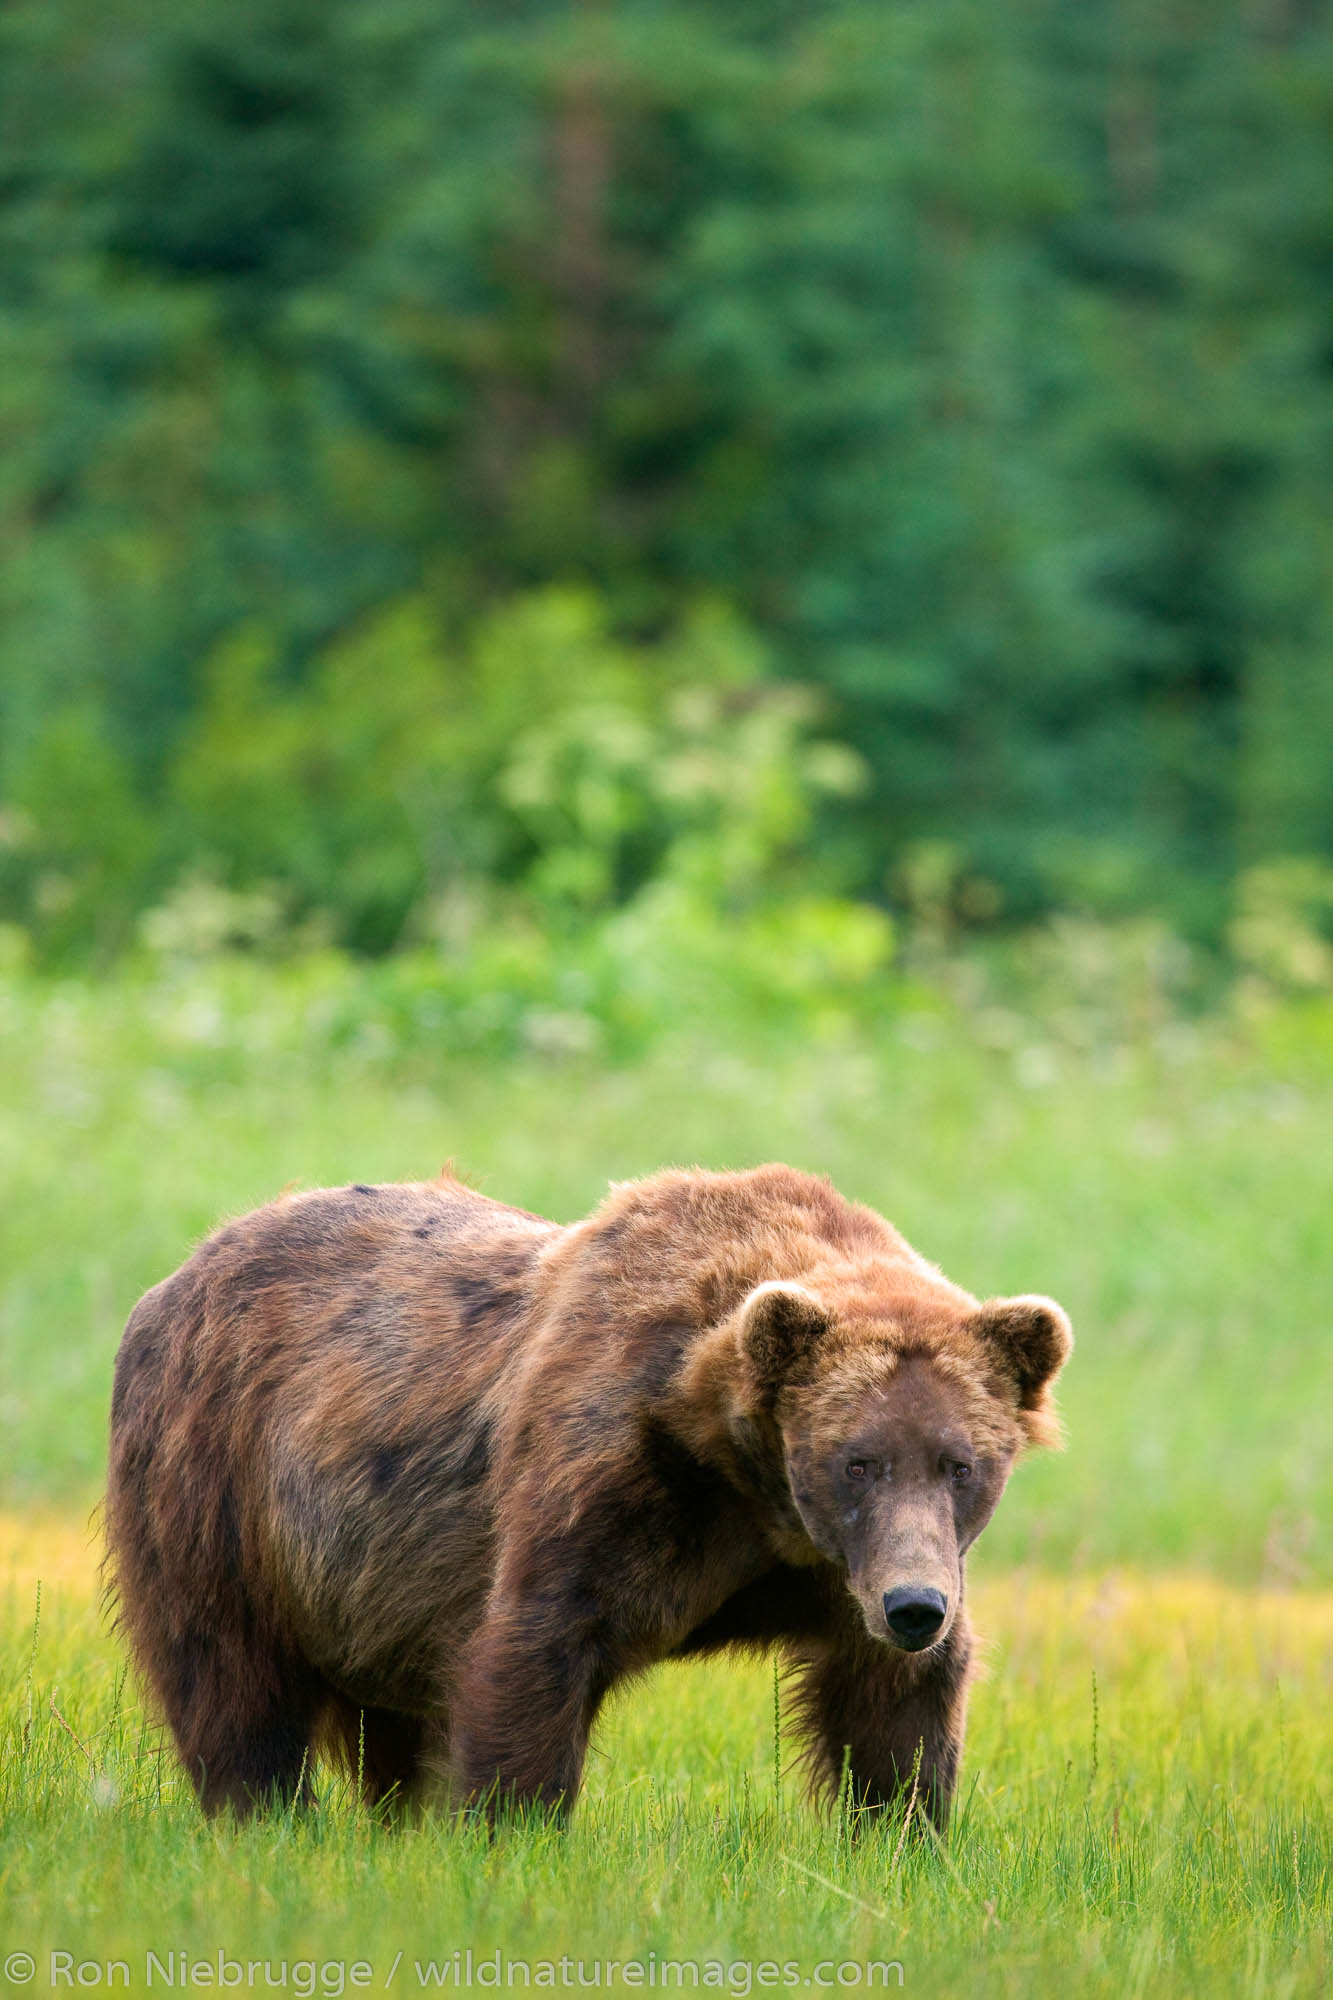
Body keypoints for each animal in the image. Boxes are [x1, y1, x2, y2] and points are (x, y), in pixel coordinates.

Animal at [109, 1168, 1072, 1832]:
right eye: (856, 1461)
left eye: (959, 1464)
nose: (915, 1606)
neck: (743, 1480)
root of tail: (182, 1268)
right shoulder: (610, 1478)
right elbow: (535, 1652)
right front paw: (511, 1832)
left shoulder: (835, 1573)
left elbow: (893, 1713)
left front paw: (901, 1832)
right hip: (220, 1486)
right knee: (231, 1681)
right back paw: (267, 1821)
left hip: (367, 1589)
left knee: (390, 1729)